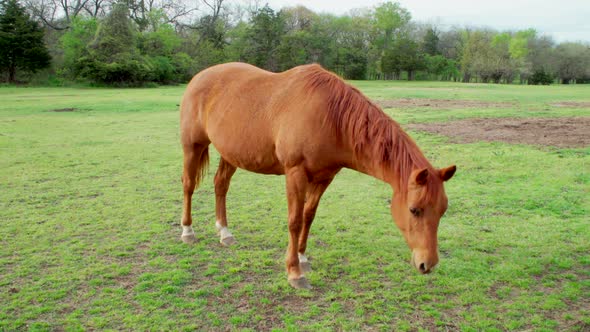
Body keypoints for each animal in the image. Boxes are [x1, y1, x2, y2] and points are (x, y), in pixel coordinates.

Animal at [180, 61, 458, 288]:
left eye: (442, 211)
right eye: (414, 210)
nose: (428, 264)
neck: (330, 117)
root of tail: (199, 77)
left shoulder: (324, 177)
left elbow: (308, 216)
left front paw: (302, 257)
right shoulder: (295, 173)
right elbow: (294, 221)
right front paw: (294, 272)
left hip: (230, 154)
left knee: (220, 185)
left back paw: (224, 233)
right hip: (193, 146)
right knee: (188, 185)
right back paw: (188, 231)